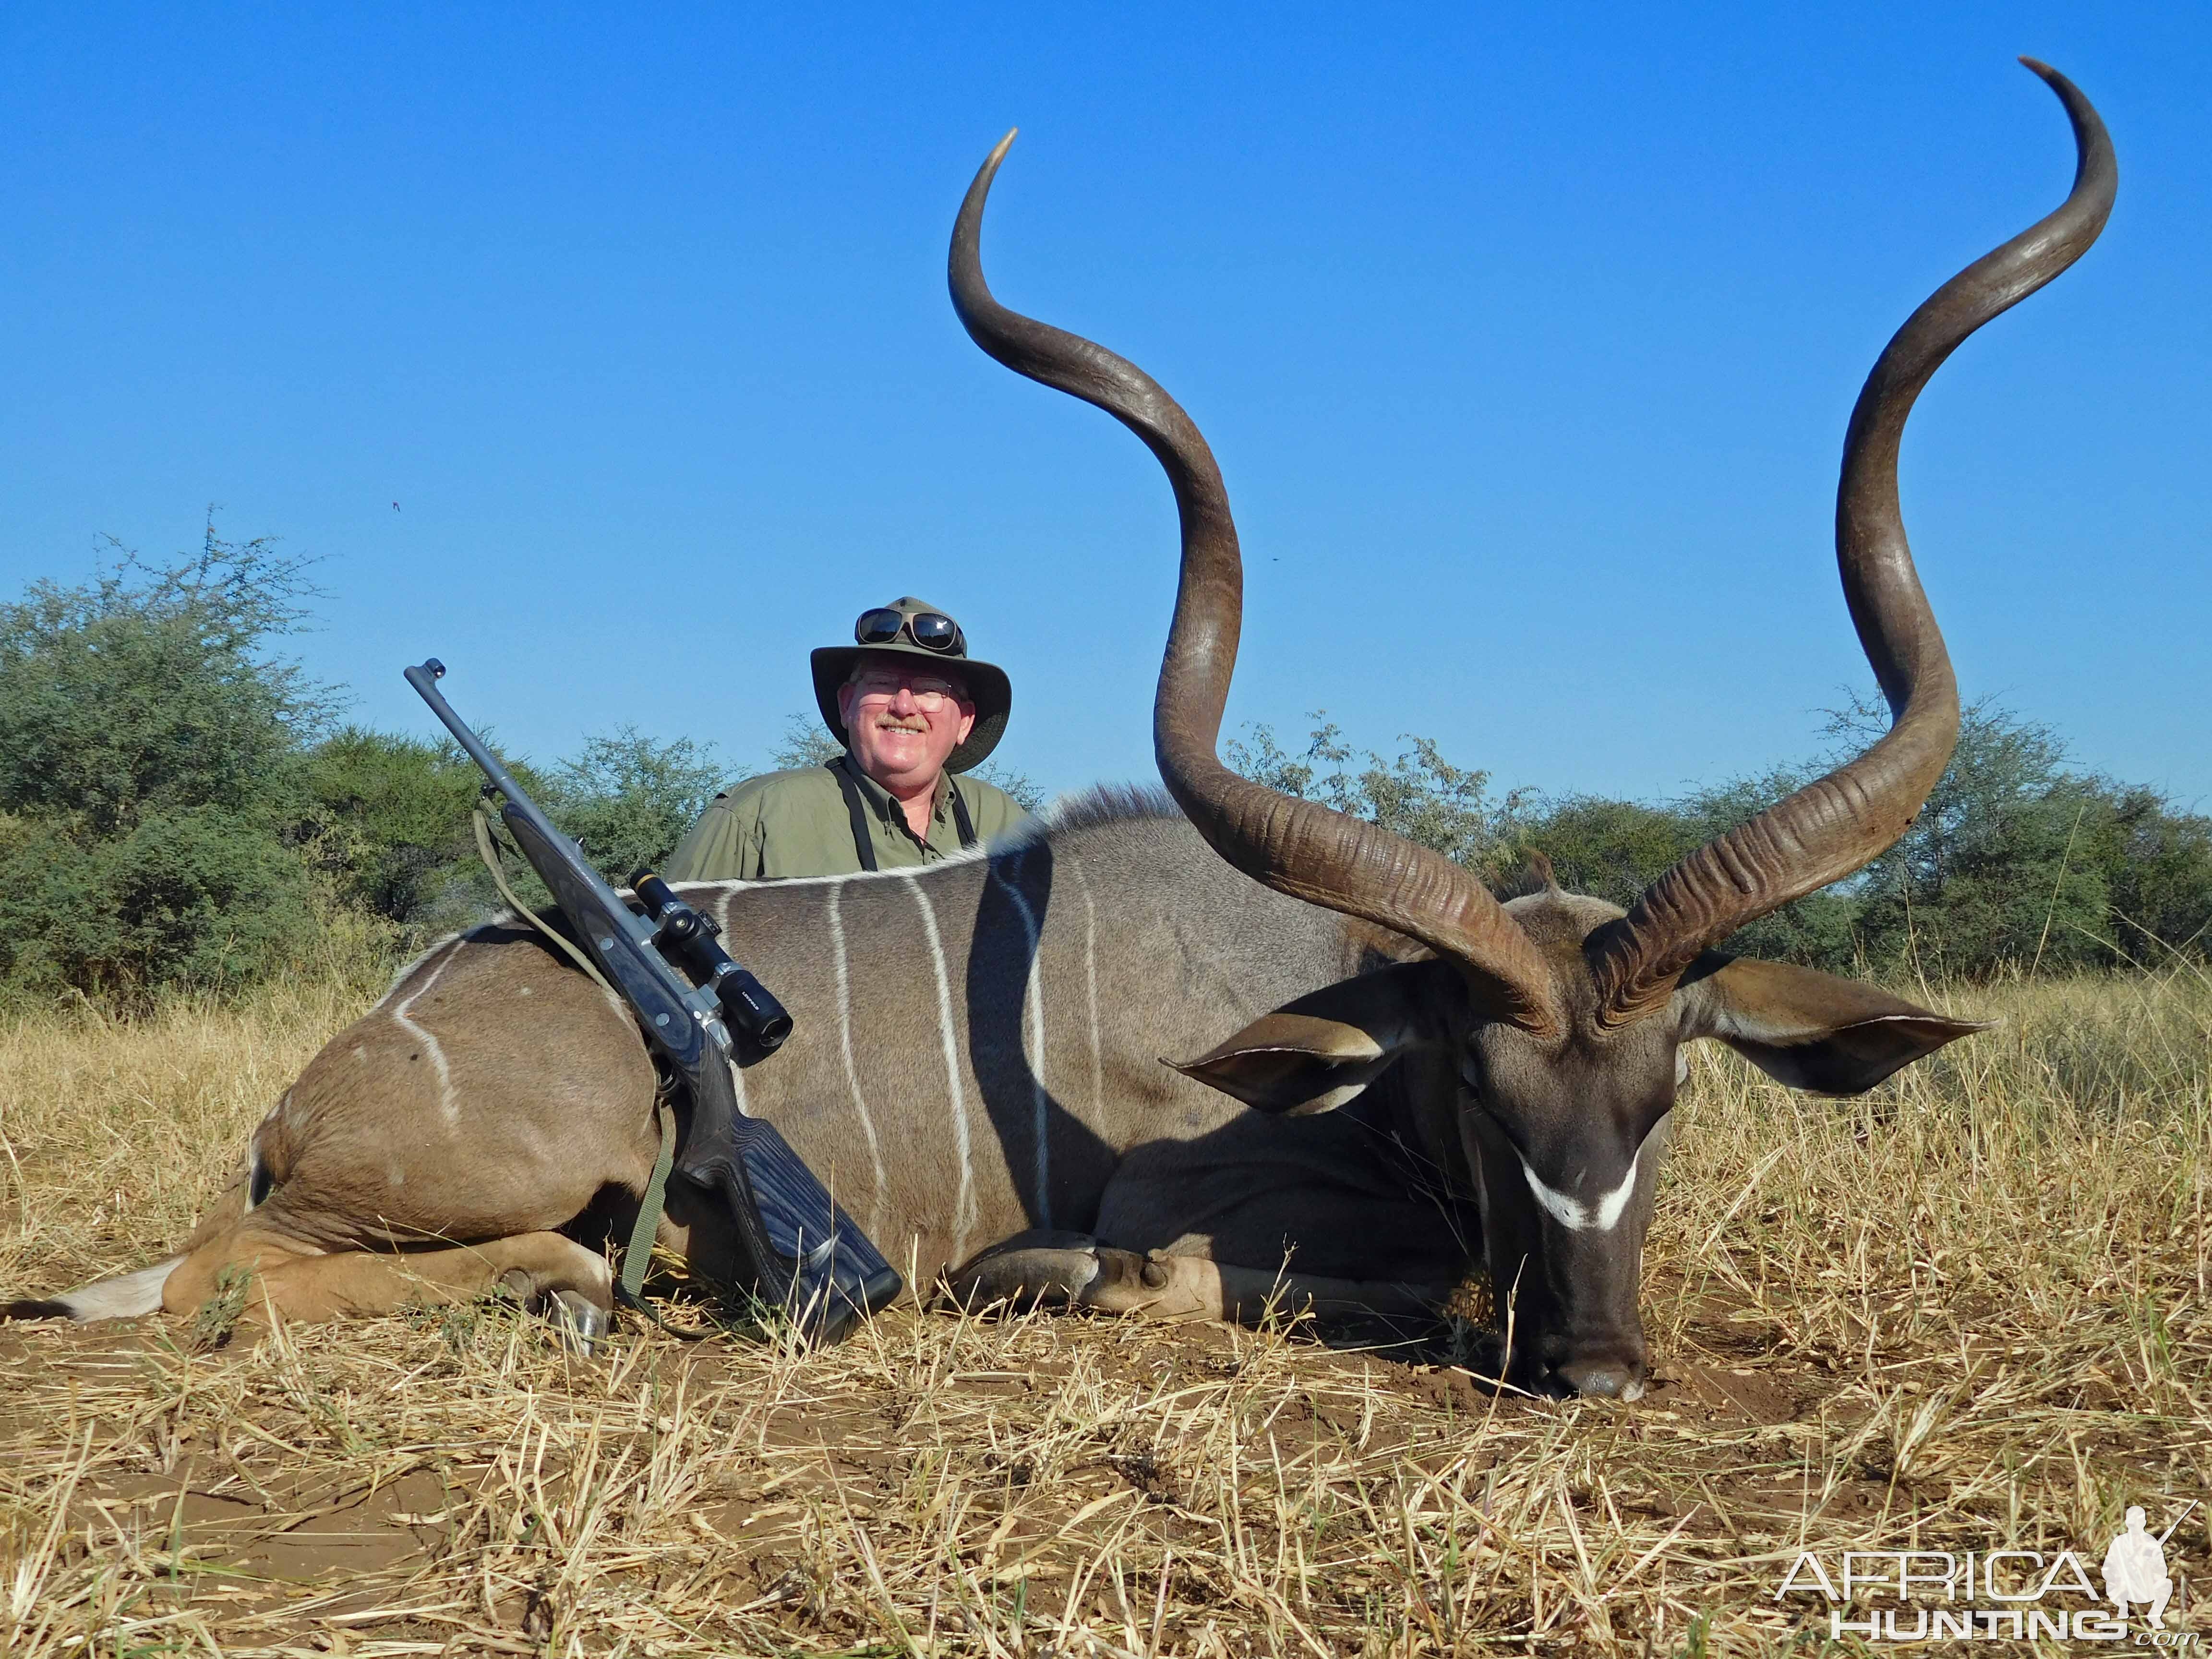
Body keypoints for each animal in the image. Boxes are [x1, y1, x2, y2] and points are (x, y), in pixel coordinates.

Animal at [9, 61, 2115, 1407]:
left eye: (1670, 1085)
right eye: (1479, 1081)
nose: (1594, 1363)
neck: (1326, 1012)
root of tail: (328, 1082)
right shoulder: (1204, 1204)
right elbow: (1219, 1280)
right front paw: (1072, 1283)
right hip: (526, 1165)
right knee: (235, 1277)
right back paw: (569, 1299)